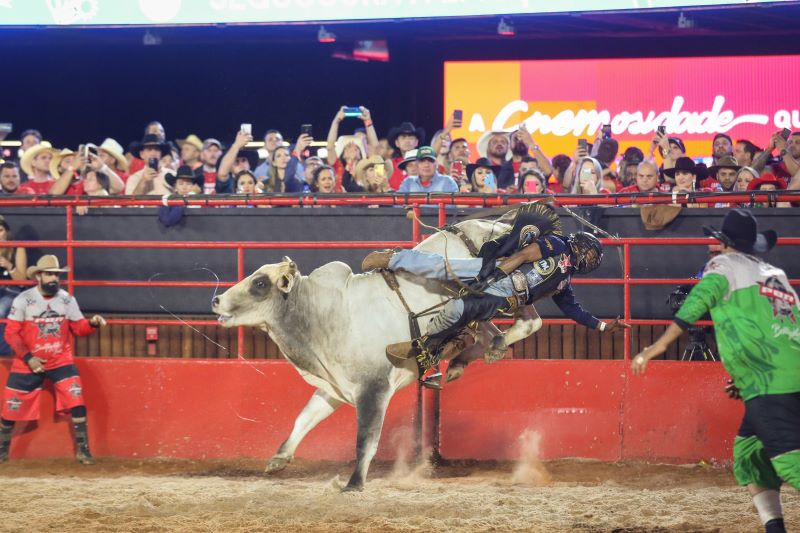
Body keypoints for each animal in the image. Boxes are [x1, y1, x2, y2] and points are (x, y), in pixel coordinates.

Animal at [211, 217, 544, 490]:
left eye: (259, 283)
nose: (216, 300)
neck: (320, 314)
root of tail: (499, 226)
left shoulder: (374, 389)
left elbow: (365, 440)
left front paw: (354, 483)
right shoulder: (333, 386)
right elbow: (304, 418)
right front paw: (279, 458)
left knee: (529, 320)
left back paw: (490, 348)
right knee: (494, 330)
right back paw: (463, 360)